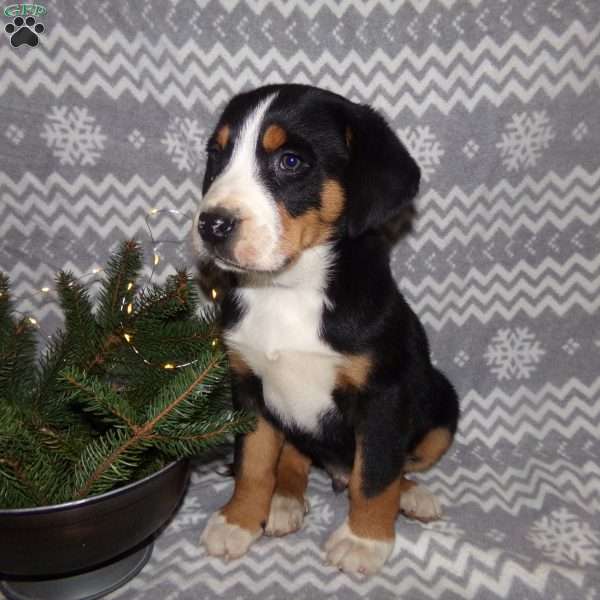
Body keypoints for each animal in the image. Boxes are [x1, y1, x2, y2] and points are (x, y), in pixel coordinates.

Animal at [192, 85, 460, 576]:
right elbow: (254, 463)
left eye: (291, 161)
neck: (288, 288)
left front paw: (364, 540)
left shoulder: (382, 395)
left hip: (442, 406)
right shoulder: (248, 385)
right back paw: (284, 500)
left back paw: (412, 495)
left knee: (392, 466)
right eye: (216, 155)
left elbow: (374, 474)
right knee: (295, 454)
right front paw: (238, 520)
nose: (212, 224)